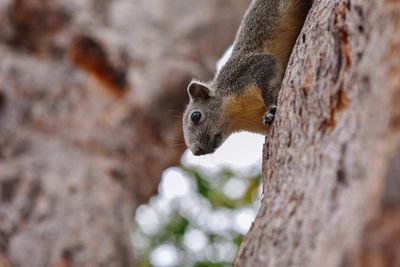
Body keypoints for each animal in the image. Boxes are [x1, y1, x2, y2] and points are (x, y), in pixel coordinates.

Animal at [182, 0, 312, 156]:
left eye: (195, 116)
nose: (198, 151)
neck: (239, 117)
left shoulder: (250, 70)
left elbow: (268, 86)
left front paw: (270, 110)